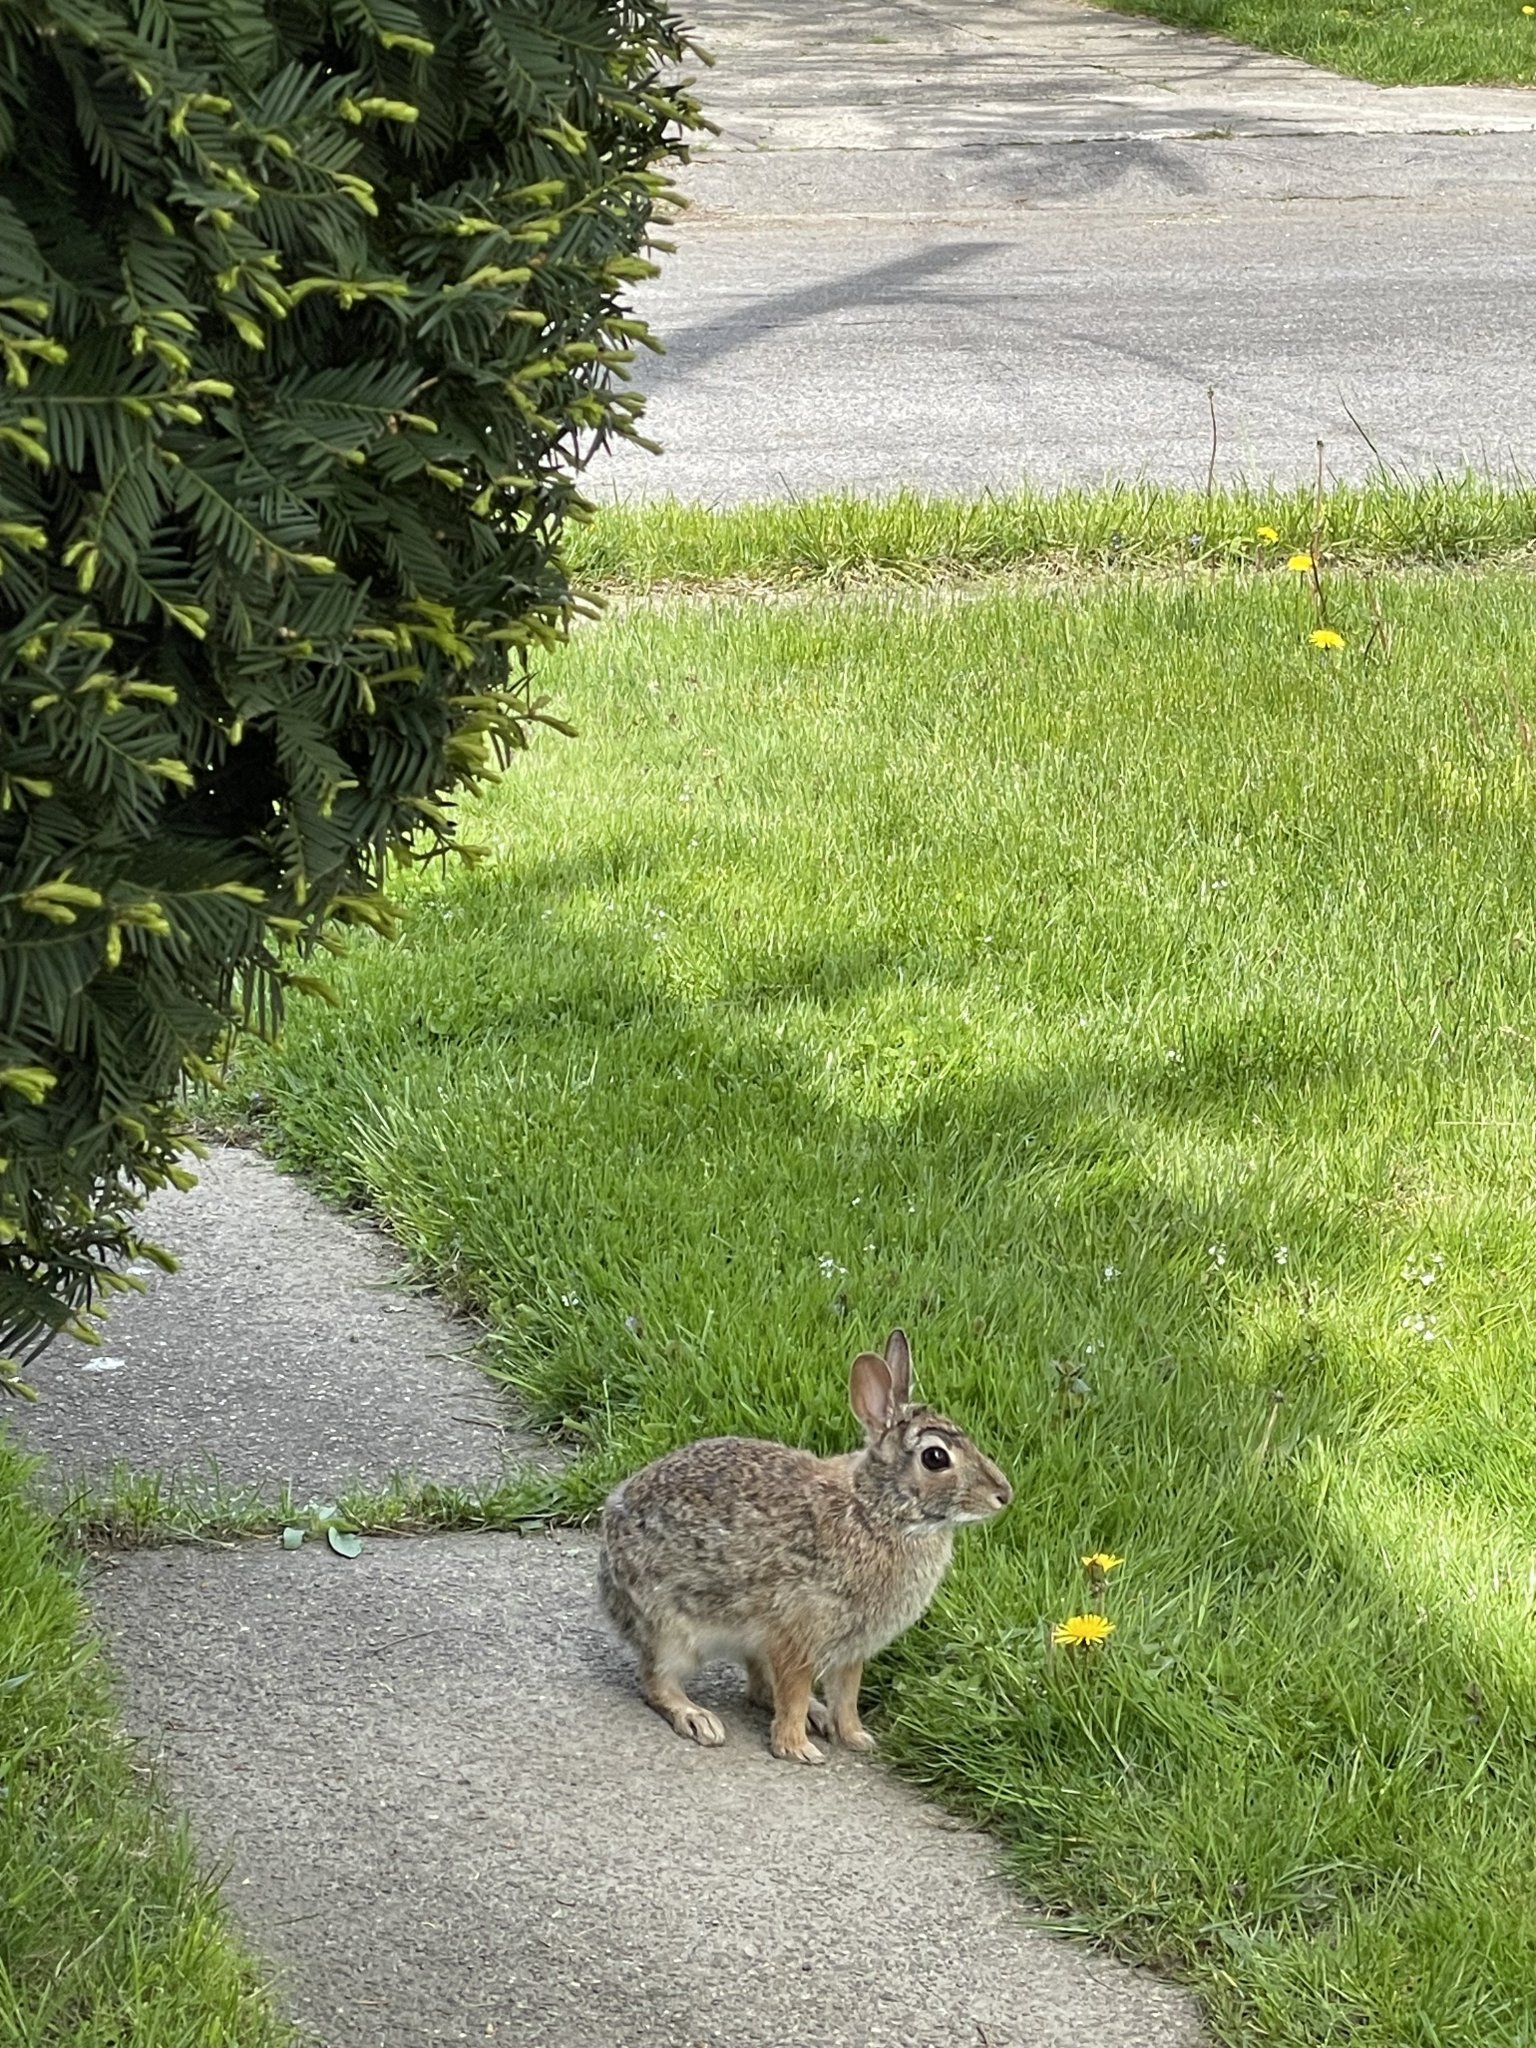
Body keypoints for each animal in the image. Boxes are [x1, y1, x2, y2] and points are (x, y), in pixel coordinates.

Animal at [597, 1329, 1012, 1764]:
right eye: (935, 1458)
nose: (1004, 1495)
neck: (876, 1510)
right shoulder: (797, 1634)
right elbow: (794, 1691)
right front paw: (797, 1749)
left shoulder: (851, 1649)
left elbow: (846, 1695)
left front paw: (856, 1737)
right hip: (669, 1630)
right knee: (657, 1681)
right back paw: (698, 1718)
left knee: (760, 1688)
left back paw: (818, 1715)